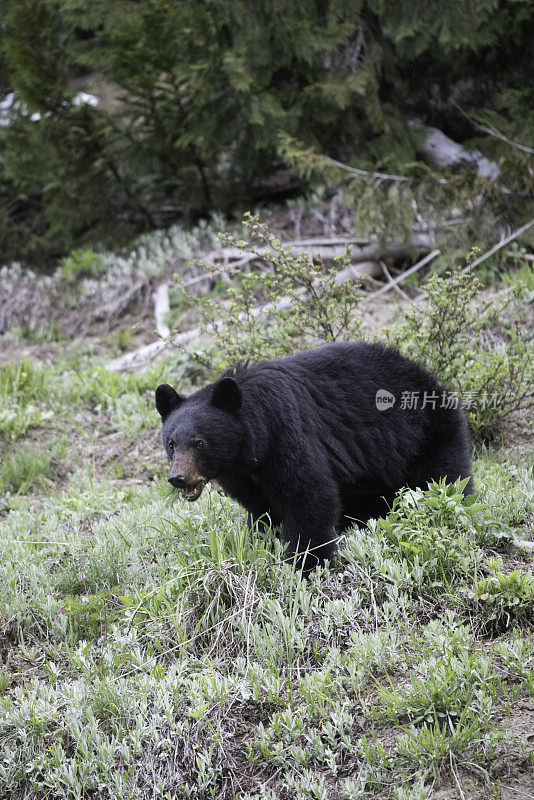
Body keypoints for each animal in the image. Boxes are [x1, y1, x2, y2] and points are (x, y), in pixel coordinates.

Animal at [155, 340, 474, 572]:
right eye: (171, 443)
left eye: (199, 442)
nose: (178, 478)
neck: (251, 444)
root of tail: (427, 375)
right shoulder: (241, 473)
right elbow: (261, 508)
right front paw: (261, 540)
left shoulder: (286, 434)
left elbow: (309, 494)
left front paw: (303, 562)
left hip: (423, 434)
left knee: (443, 477)